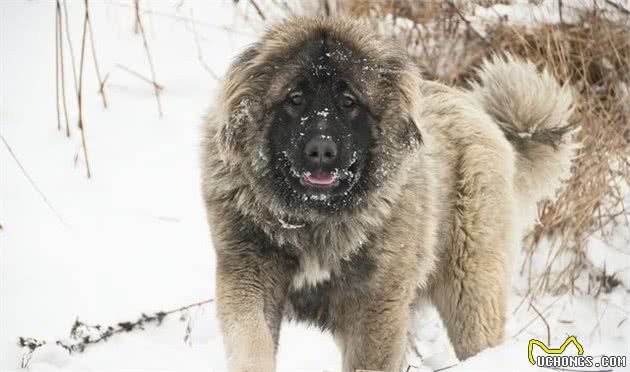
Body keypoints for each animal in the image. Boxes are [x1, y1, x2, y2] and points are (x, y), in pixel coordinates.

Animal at [201, 16, 576, 370]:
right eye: (295, 98)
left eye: (348, 101)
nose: (321, 150)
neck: (315, 221)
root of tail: (484, 117)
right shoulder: (249, 277)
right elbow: (253, 345)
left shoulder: (376, 304)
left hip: (471, 292)